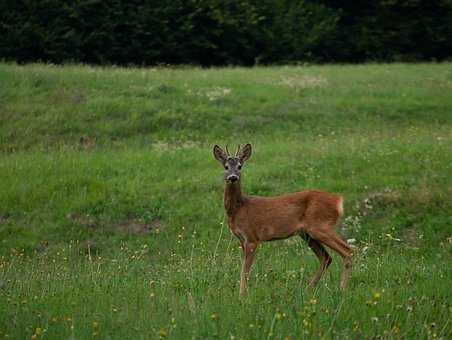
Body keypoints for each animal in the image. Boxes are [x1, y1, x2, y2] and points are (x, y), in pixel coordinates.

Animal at [213, 145, 354, 296]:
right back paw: (307, 289)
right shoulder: (241, 239)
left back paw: (342, 290)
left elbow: (245, 271)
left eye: (240, 166)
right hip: (306, 233)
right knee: (326, 257)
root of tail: (338, 201)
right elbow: (242, 269)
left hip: (320, 226)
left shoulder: (252, 238)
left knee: (348, 251)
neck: (239, 208)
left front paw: (242, 296)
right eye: (226, 166)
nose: (233, 177)